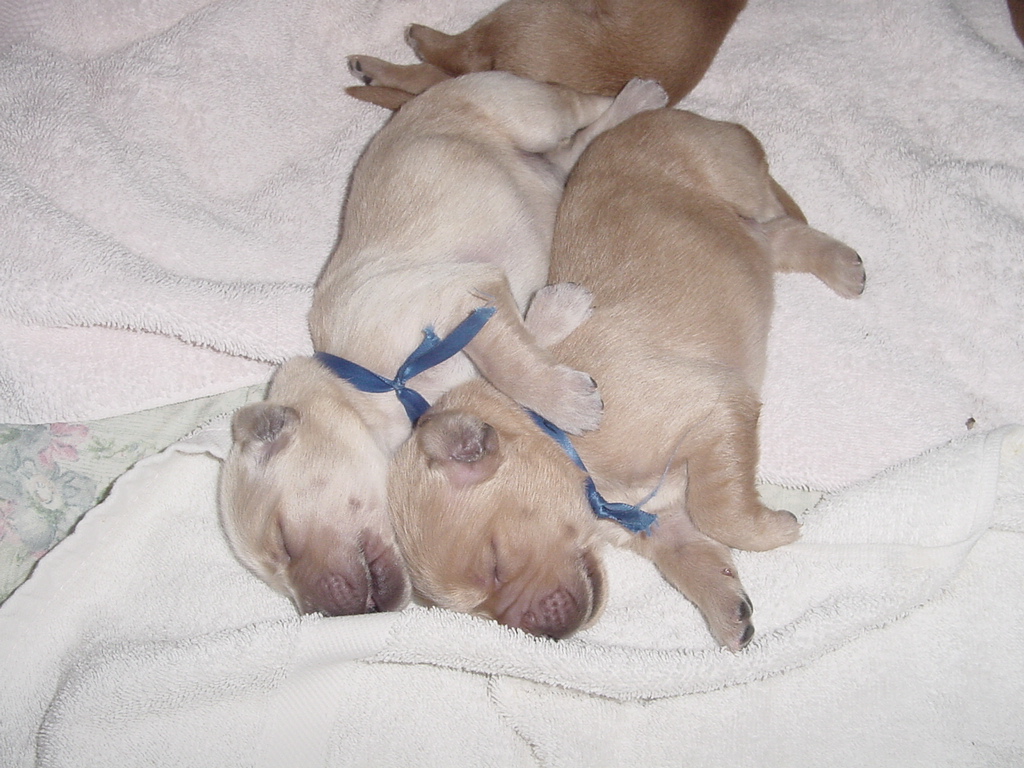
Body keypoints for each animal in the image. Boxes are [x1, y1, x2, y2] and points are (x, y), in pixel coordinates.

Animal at [220, 72, 667, 622]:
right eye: (277, 582)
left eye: (282, 542)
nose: (318, 614)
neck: (376, 387)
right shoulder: (483, 299)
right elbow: (522, 339)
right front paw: (560, 308)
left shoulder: (454, 301)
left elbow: (509, 364)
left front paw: (569, 405)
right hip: (544, 157)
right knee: (573, 152)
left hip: (528, 110)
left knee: (581, 104)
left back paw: (641, 96)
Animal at [387, 108, 868, 651]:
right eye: (483, 612)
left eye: (495, 563)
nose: (548, 634)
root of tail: (674, 113)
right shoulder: (659, 523)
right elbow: (690, 556)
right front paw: (729, 611)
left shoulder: (715, 405)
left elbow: (718, 510)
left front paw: (776, 530)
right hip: (741, 230)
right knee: (776, 238)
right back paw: (841, 266)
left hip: (736, 182)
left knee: (777, 211)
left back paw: (840, 264)